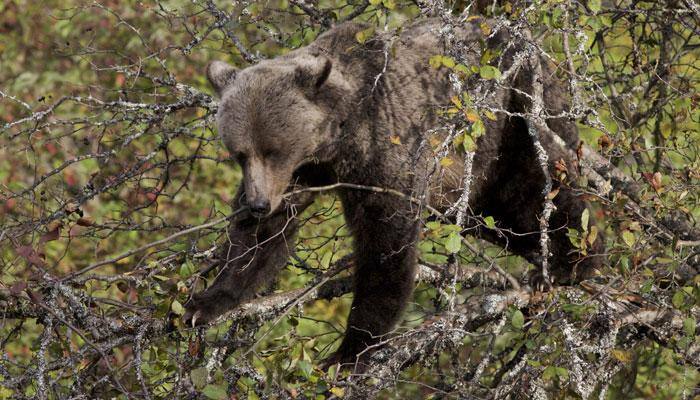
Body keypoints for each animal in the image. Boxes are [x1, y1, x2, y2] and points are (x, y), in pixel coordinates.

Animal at [183, 18, 604, 366]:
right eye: (240, 153)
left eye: (274, 149)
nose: (258, 203)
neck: (336, 139)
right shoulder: (303, 172)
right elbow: (263, 238)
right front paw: (206, 301)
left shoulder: (382, 145)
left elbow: (386, 239)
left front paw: (350, 348)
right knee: (502, 212)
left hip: (512, 113)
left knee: (537, 185)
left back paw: (573, 261)